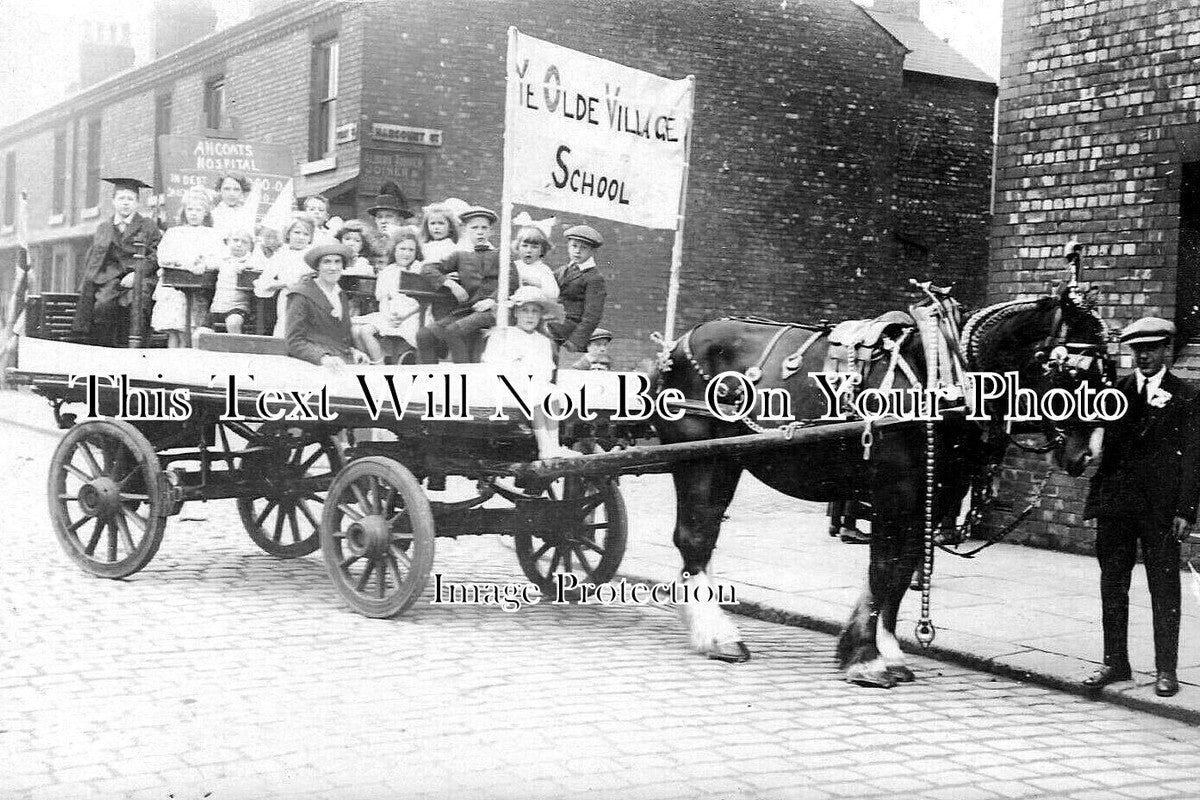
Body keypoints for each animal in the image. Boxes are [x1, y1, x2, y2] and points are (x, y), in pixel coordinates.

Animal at [652, 286, 1108, 690]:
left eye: (1107, 370)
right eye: (1068, 368)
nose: (1086, 455)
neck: (943, 376)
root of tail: (678, 344)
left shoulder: (929, 498)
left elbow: (902, 572)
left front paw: (886, 652)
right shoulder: (895, 491)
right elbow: (884, 569)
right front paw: (867, 662)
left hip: (726, 461)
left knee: (704, 536)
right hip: (700, 459)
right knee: (694, 536)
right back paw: (718, 636)